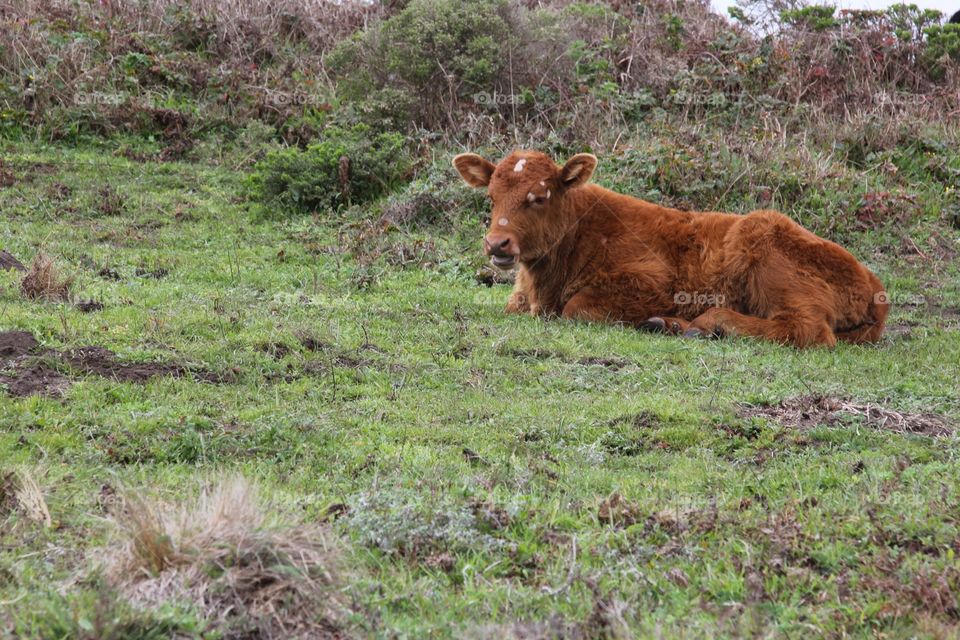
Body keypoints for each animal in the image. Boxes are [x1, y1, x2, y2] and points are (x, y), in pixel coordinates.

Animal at [453, 150, 889, 348]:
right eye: (491, 197)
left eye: (539, 197)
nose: (497, 243)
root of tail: (872, 282)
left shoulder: (653, 283)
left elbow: (577, 308)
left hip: (765, 240)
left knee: (806, 329)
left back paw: (708, 323)